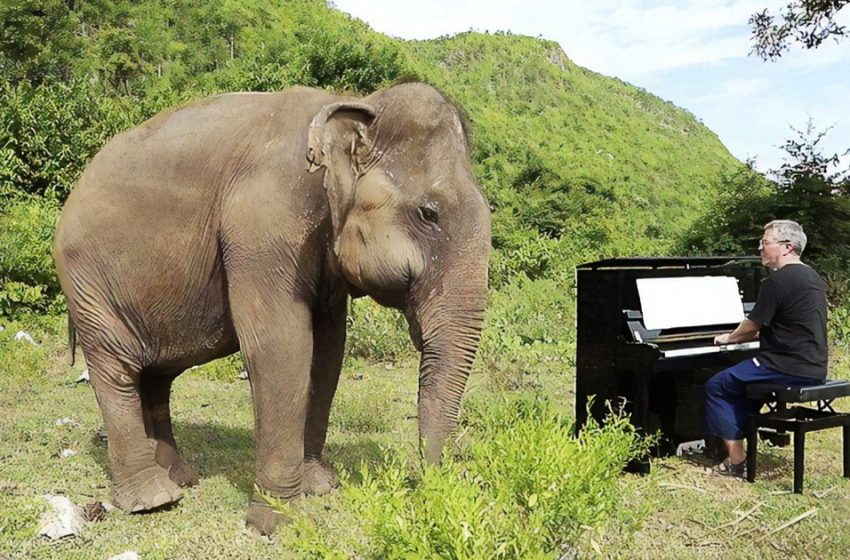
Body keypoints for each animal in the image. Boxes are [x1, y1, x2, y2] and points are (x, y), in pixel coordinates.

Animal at [53, 81, 490, 532]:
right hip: (88, 284)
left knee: (156, 377)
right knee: (116, 371)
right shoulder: (262, 227)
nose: (431, 485)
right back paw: (154, 499)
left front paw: (319, 486)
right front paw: (278, 521)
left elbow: (327, 352)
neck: (353, 104)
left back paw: (181, 479)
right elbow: (281, 347)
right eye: (429, 213)